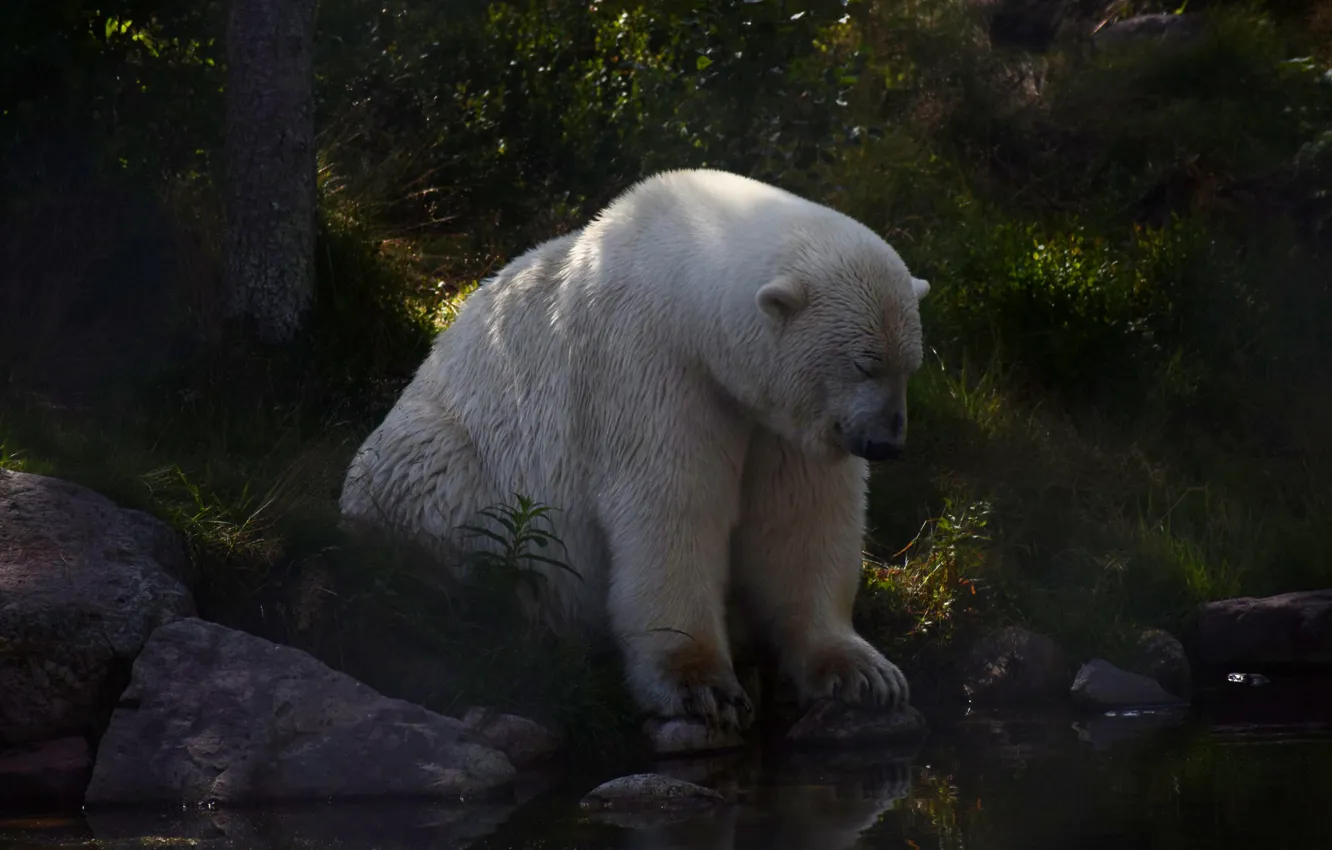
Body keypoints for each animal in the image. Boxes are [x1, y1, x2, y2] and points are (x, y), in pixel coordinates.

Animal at [339, 168, 931, 733]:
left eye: (910, 366)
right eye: (865, 364)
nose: (886, 443)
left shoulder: (776, 417)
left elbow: (801, 521)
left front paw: (866, 675)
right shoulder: (645, 362)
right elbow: (669, 507)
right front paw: (703, 688)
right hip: (439, 456)